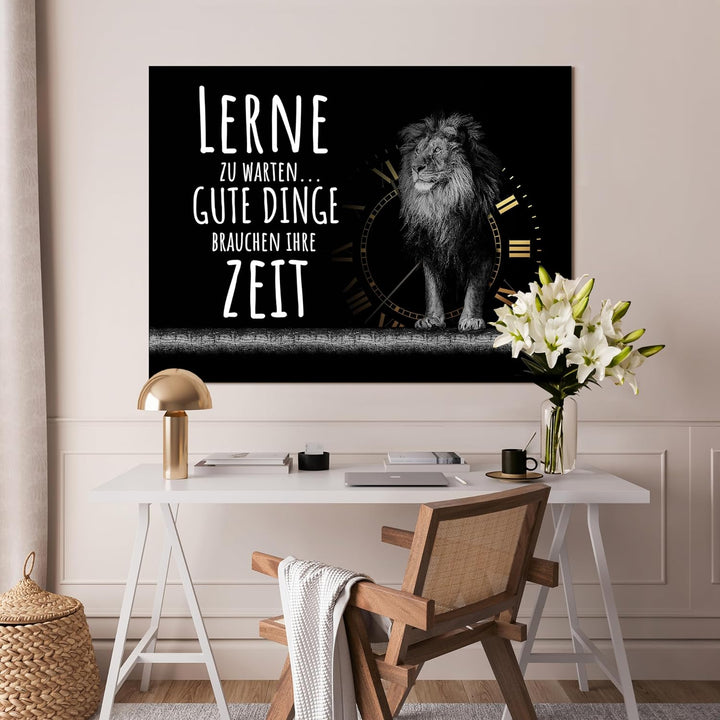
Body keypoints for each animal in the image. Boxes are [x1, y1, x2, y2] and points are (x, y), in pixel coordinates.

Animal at [398, 113, 501, 331]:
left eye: (437, 150)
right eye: (417, 151)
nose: (415, 167)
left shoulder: (482, 248)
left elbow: (475, 288)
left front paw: (471, 319)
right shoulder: (430, 248)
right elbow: (432, 288)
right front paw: (432, 319)